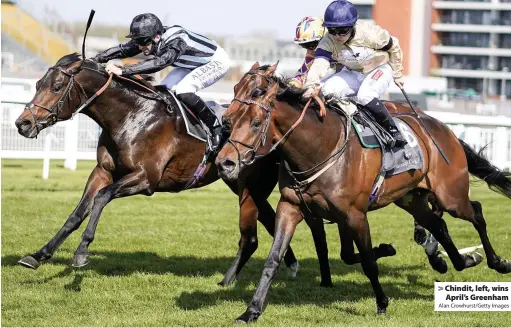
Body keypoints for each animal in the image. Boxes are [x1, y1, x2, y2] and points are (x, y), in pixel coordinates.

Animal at [14, 52, 304, 286]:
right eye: (38, 84)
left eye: (56, 87)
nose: (23, 123)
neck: (131, 116)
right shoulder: (102, 172)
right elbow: (77, 213)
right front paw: (39, 254)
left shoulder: (146, 179)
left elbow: (102, 198)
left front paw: (82, 251)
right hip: (241, 184)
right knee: (268, 219)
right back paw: (289, 264)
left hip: (248, 184)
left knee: (258, 228)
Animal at [216, 62, 511, 322]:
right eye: (234, 119)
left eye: (256, 123)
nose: (224, 162)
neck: (321, 147)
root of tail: (443, 128)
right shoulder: (291, 207)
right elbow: (273, 260)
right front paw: (251, 311)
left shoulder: (354, 214)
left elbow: (368, 261)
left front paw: (382, 303)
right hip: (411, 199)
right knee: (438, 224)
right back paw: (462, 260)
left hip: (451, 196)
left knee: (476, 212)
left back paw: (497, 262)